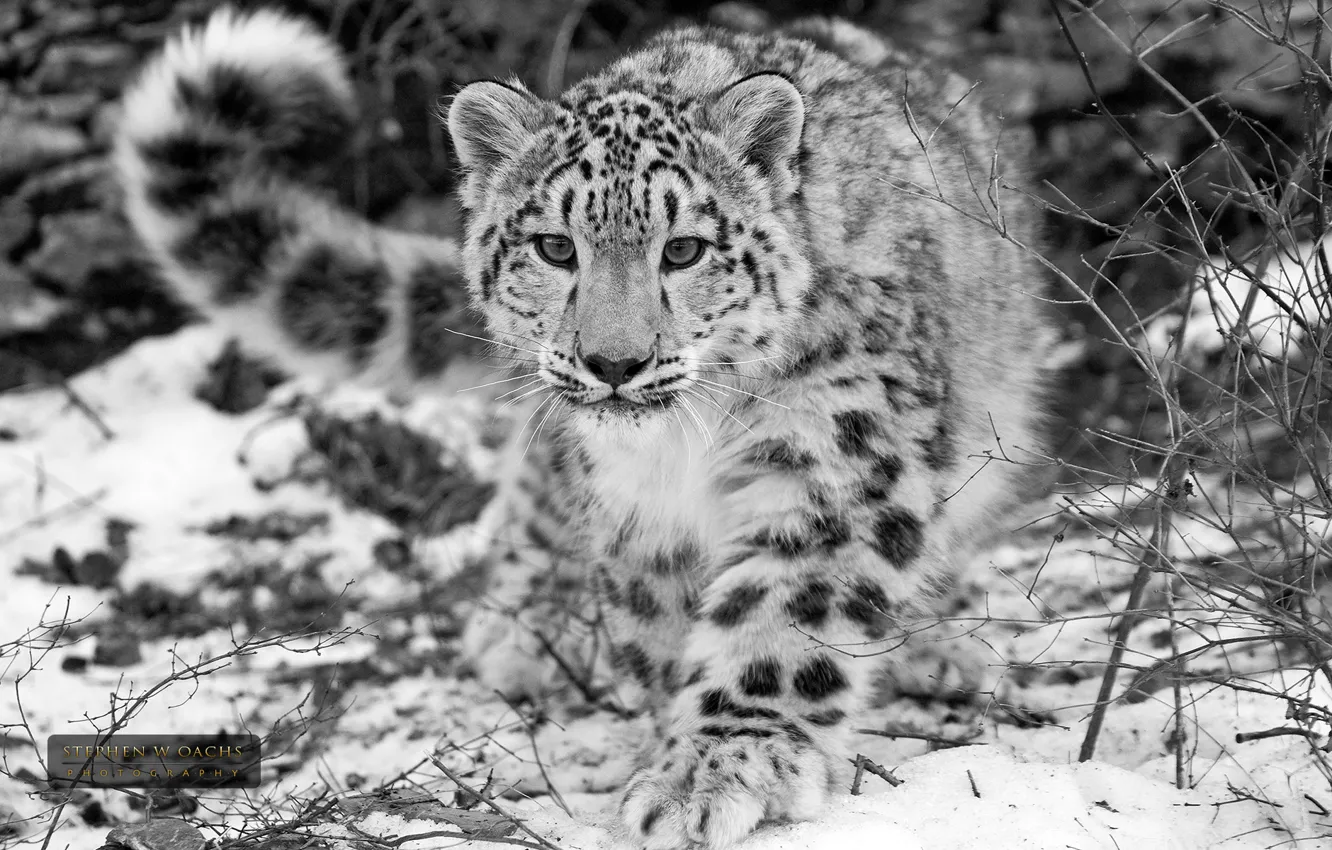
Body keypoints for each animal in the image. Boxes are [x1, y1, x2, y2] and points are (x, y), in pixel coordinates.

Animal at [115, 7, 1051, 848]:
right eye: (555, 247)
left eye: (685, 250)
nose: (613, 362)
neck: (687, 446)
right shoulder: (637, 510)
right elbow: (660, 629)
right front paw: (669, 745)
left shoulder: (833, 457)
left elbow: (784, 615)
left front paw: (720, 767)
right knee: (535, 485)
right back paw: (525, 628)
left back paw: (936, 649)